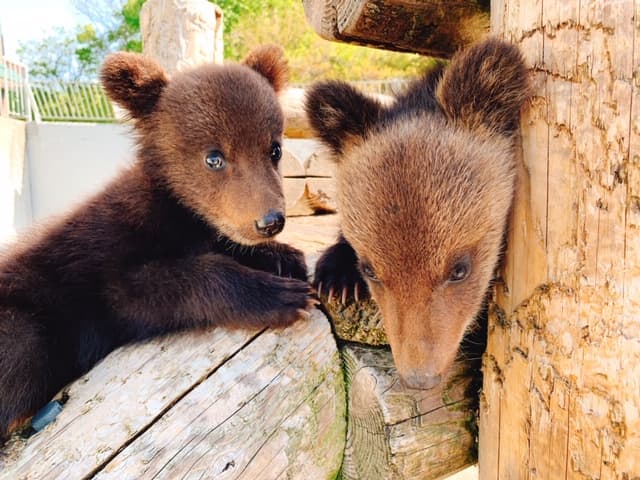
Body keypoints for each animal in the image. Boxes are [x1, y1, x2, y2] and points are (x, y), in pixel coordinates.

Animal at [0, 45, 314, 442]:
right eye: (214, 157)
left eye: (274, 149)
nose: (270, 221)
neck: (176, 208)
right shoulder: (107, 266)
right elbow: (160, 286)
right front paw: (279, 295)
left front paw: (284, 257)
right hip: (22, 321)